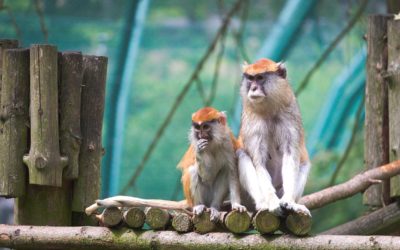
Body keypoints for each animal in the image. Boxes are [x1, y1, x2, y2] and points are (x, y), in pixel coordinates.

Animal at [236, 58, 310, 217]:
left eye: (260, 78)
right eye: (250, 78)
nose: (253, 88)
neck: (269, 110)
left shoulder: (290, 117)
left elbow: (290, 156)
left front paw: (289, 201)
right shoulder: (254, 125)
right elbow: (259, 162)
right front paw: (273, 202)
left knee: (304, 163)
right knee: (242, 154)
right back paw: (262, 204)